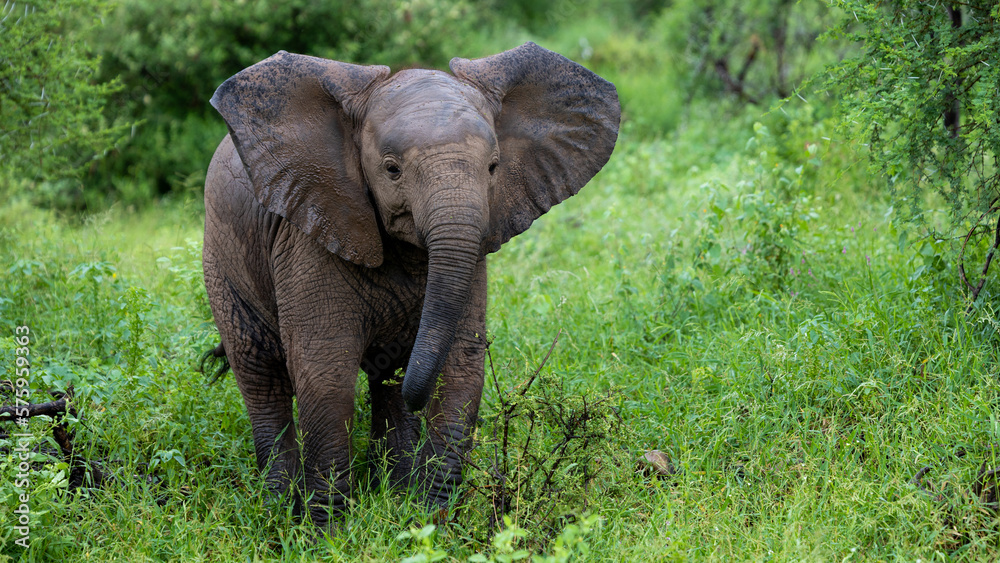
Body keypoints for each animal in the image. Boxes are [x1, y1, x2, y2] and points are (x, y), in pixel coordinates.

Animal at [201, 42, 620, 527]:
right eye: (391, 169)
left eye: (494, 167)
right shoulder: (308, 236)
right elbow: (326, 374)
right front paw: (327, 531)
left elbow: (459, 370)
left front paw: (431, 521)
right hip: (222, 260)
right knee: (260, 375)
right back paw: (276, 509)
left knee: (384, 381)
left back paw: (392, 490)